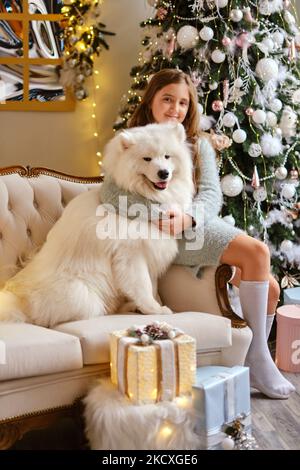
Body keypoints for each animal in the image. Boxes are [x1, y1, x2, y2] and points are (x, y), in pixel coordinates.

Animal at [0, 122, 195, 326]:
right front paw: (155, 309)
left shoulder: (151, 251)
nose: (163, 173)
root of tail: (17, 299)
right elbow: (143, 286)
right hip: (81, 294)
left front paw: (146, 306)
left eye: (167, 156)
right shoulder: (131, 254)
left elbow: (152, 285)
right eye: (147, 159)